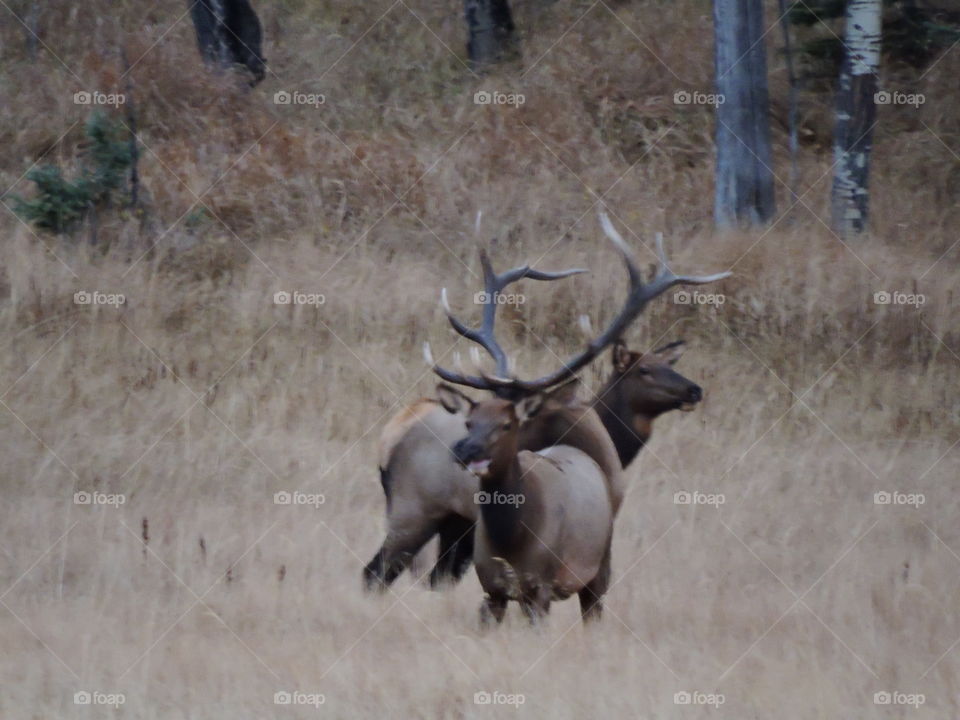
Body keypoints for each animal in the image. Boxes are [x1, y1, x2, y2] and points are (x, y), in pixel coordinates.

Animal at [363, 214, 729, 601]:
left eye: (509, 418)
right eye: (644, 370)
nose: (694, 390)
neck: (612, 445)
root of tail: (390, 436)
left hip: (451, 520)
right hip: (416, 507)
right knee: (377, 572)